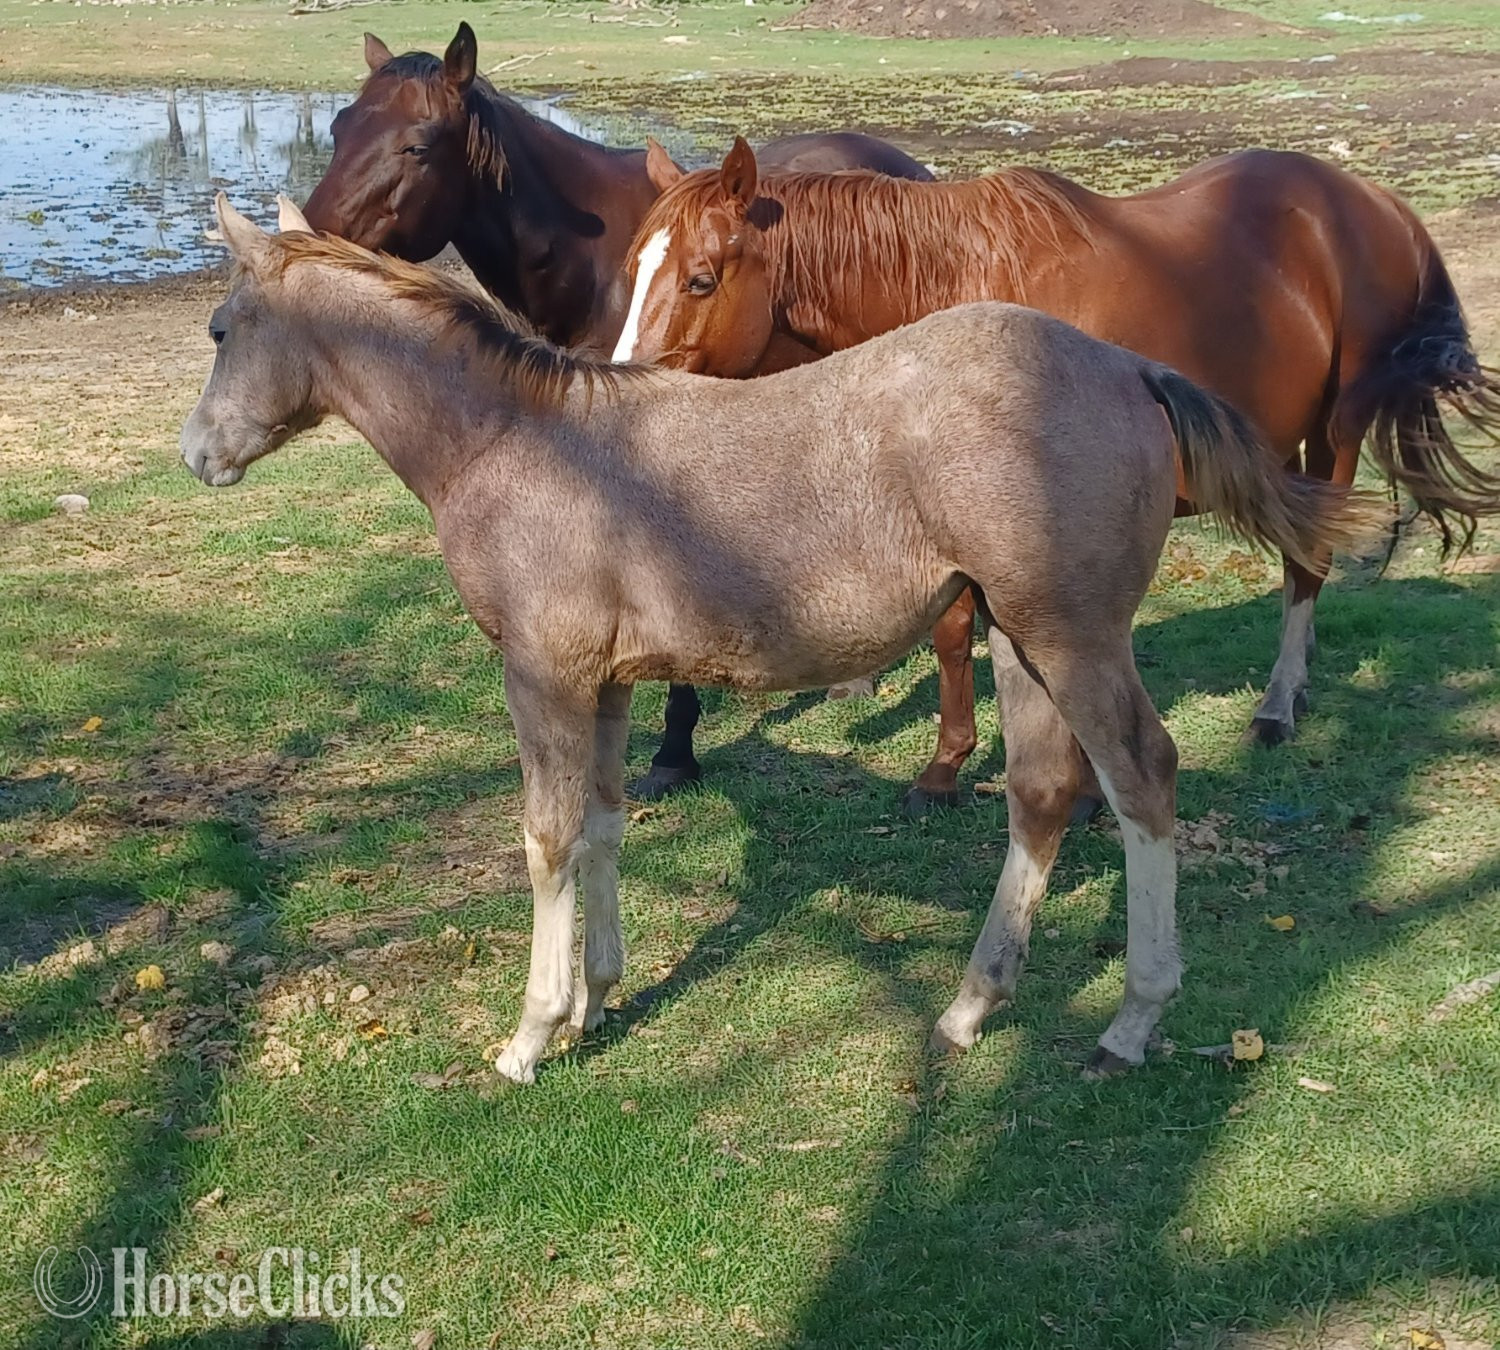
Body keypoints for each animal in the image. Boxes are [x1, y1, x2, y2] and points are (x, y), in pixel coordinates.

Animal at [181, 196, 1381, 1083]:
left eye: (220, 330)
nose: (199, 455)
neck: (517, 442)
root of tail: (1129, 367)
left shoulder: (543, 676)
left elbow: (546, 838)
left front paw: (529, 1035)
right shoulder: (609, 684)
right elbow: (606, 825)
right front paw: (599, 998)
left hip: (1074, 635)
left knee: (1142, 777)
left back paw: (1132, 1019)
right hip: (1020, 637)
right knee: (1042, 792)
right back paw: (967, 1009)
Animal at [616, 137, 1500, 812]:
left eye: (699, 279)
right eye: (632, 272)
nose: (627, 390)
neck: (960, 295)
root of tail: (1374, 202)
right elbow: (950, 631)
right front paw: (945, 766)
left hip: (1338, 429)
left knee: (1306, 565)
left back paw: (1278, 707)